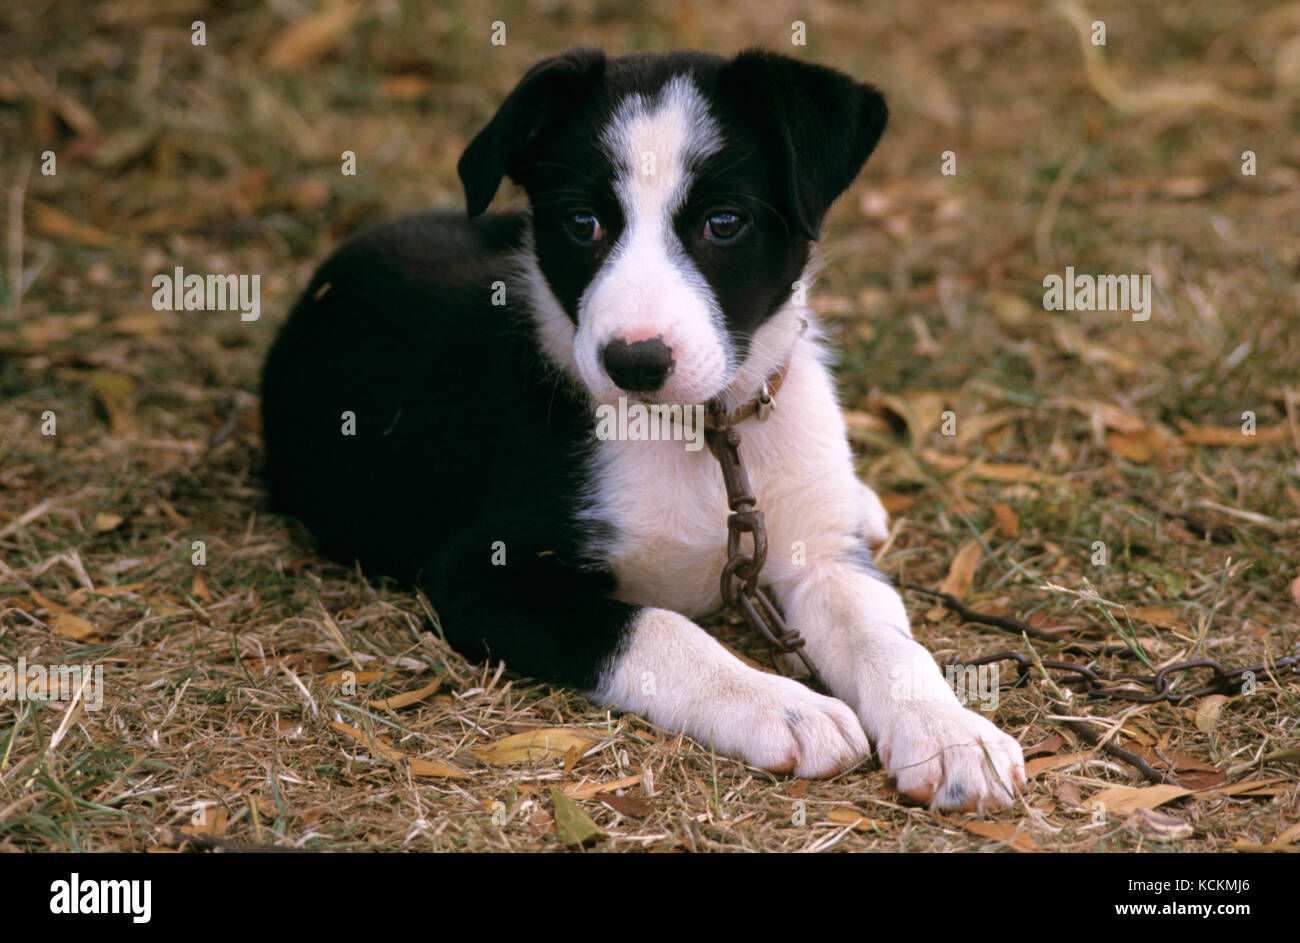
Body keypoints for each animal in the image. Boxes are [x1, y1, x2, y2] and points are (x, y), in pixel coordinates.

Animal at [261, 47, 1024, 811]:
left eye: (724, 223)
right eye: (581, 223)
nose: (635, 362)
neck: (700, 436)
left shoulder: (825, 559)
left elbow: (886, 640)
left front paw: (952, 735)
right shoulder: (479, 575)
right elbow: (657, 627)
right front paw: (783, 706)